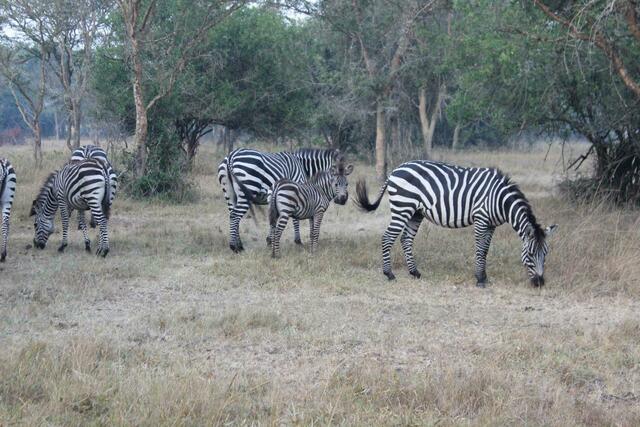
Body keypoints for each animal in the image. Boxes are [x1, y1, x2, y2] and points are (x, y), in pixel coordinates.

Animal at [355, 160, 557, 287]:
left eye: (545, 254)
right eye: (530, 254)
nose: (540, 283)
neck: (499, 200)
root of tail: (395, 170)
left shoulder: (491, 225)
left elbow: (485, 250)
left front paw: (484, 277)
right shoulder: (481, 219)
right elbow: (479, 249)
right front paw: (479, 279)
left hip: (415, 213)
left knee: (406, 239)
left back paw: (415, 272)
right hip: (402, 207)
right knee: (387, 237)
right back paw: (389, 274)